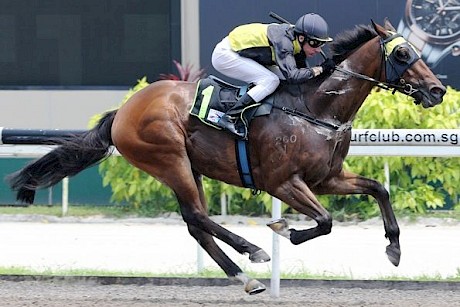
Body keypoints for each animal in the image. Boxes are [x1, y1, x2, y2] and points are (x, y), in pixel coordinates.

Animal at [8, 19, 446, 296]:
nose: (438, 90)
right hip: (169, 160)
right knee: (198, 217)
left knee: (196, 224)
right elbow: (324, 221)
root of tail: (124, 110)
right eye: (403, 53)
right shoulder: (281, 182)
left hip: (190, 168)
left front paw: (394, 249)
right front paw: (284, 230)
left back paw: (246, 278)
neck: (315, 107)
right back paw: (252, 250)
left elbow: (378, 190)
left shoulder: (327, 179)